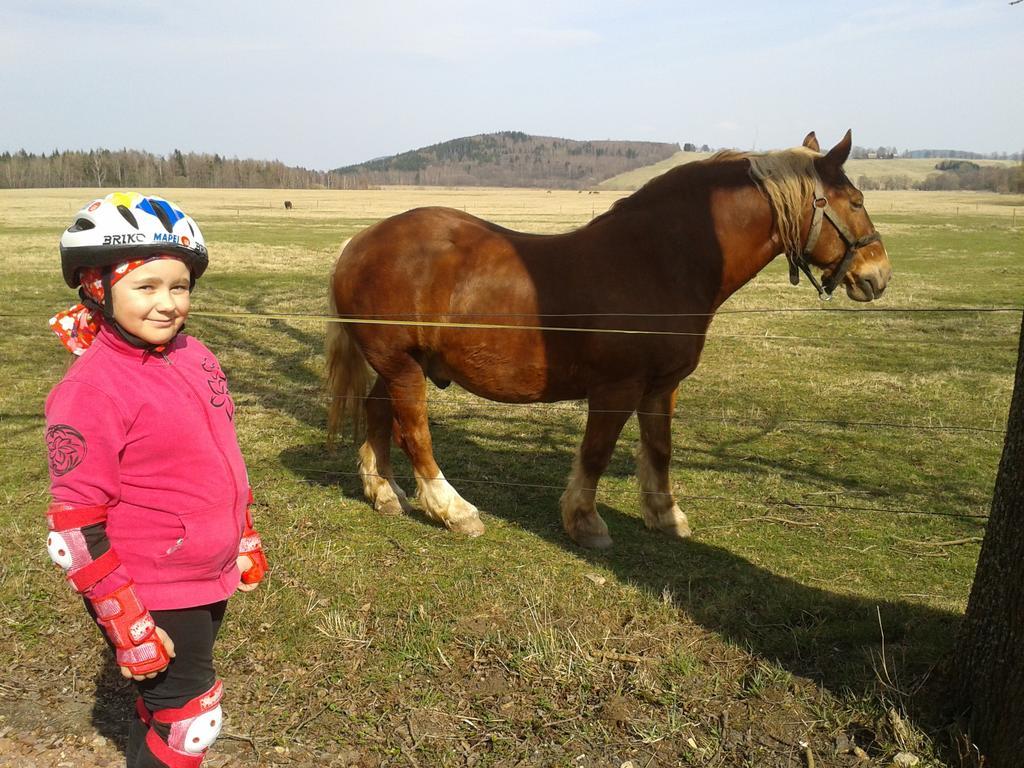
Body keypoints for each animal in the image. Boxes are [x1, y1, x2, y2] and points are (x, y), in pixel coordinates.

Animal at [325, 134, 888, 552]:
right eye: (857, 202)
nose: (878, 275)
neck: (658, 260)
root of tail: (361, 242)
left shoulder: (661, 387)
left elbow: (659, 450)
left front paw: (665, 516)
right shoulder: (617, 387)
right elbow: (596, 452)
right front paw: (585, 522)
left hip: (403, 365)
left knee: (379, 415)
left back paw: (384, 493)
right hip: (403, 366)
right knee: (415, 432)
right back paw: (452, 509)